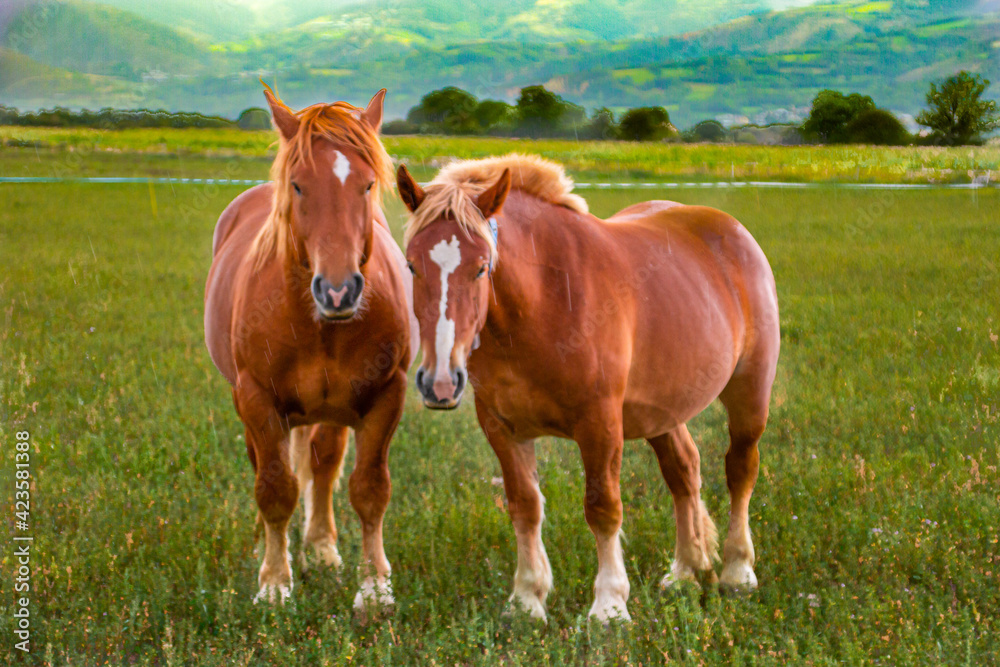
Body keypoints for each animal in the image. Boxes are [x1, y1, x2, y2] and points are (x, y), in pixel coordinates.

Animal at [205, 83, 416, 612]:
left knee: (322, 465)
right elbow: (275, 487)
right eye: (299, 185)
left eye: (367, 185)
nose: (338, 291)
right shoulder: (257, 398)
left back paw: (320, 548)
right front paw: (274, 583)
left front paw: (374, 587)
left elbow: (369, 488)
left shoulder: (385, 395)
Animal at [398, 154, 780, 624]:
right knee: (684, 472)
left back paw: (738, 571)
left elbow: (603, 508)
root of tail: (731, 229)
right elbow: (524, 506)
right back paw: (686, 572)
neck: (545, 299)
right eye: (412, 266)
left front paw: (610, 606)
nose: (440, 383)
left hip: (750, 393)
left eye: (481, 266)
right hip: (662, 410)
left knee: (740, 469)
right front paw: (526, 600)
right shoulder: (502, 427)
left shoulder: (600, 424)